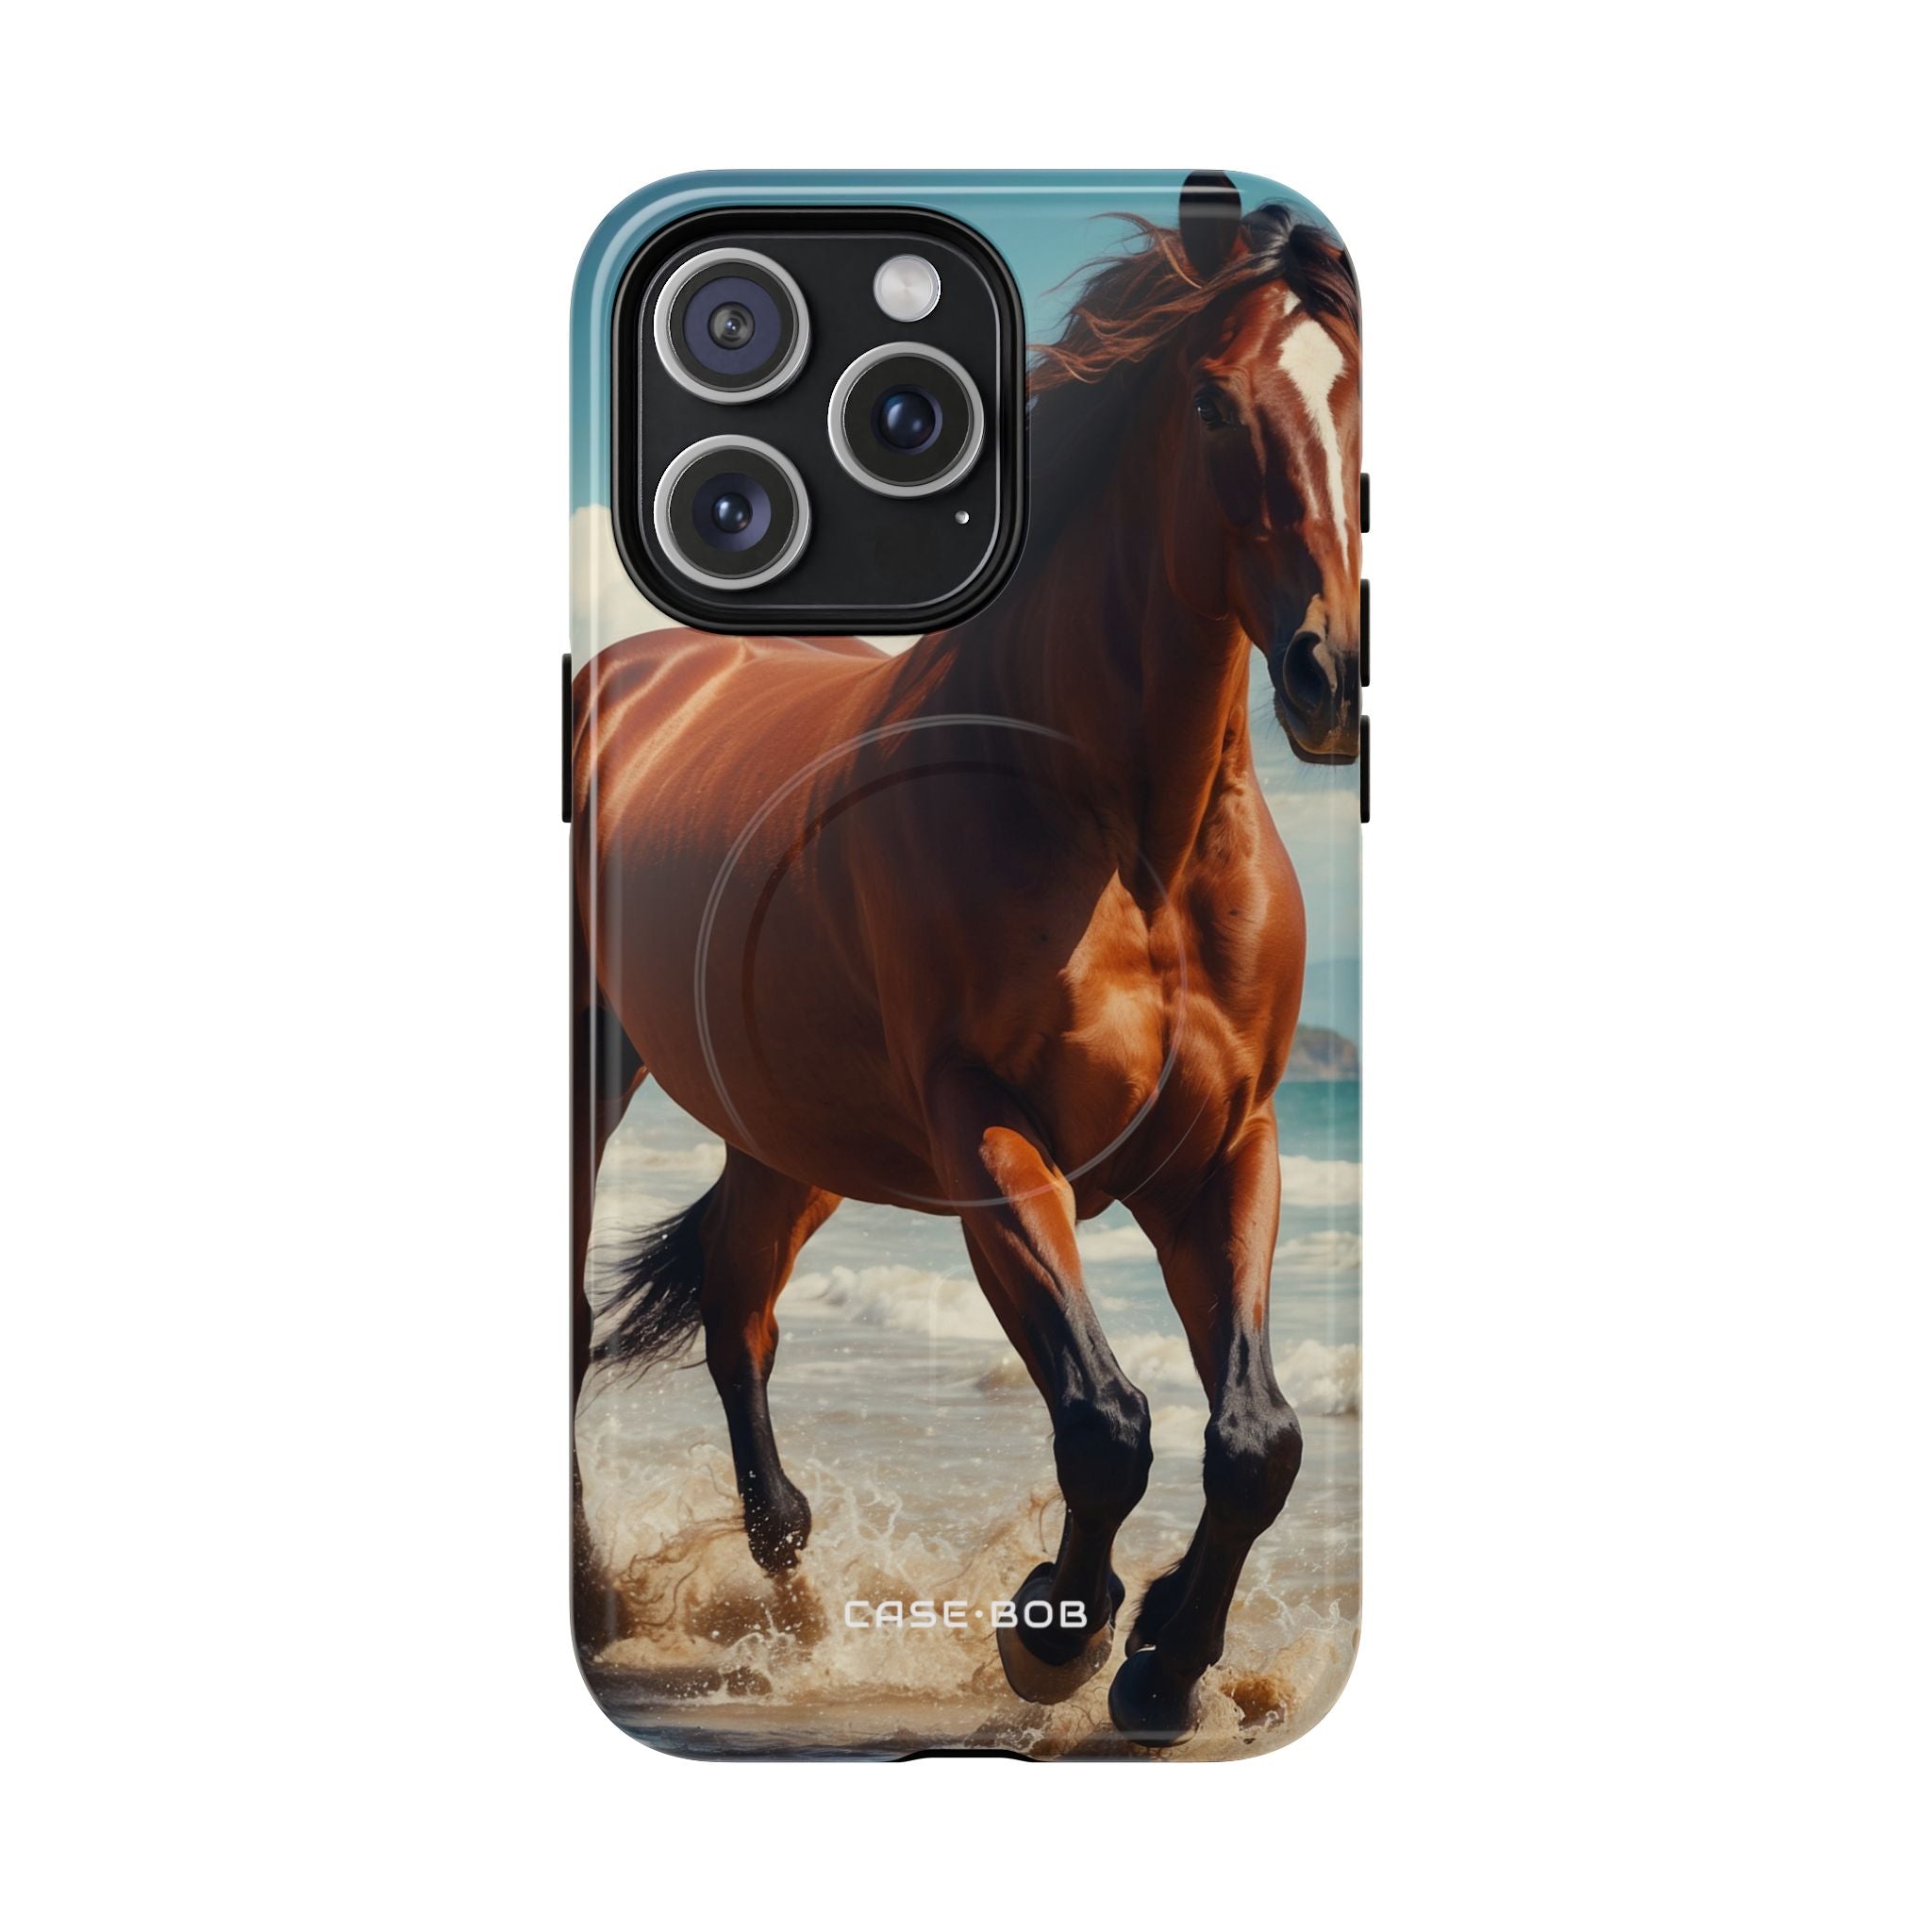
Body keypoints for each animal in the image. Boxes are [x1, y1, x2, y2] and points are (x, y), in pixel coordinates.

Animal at [570, 186, 1362, 1746]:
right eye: (1211, 402)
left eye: (1356, 392)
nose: (1329, 673)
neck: (1123, 833)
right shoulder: (989, 1134)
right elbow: (1107, 1423)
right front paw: (1059, 1632)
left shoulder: (1226, 1150)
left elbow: (1257, 1440)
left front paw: (1166, 1659)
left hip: (790, 1135)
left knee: (738, 1319)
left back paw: (795, 1605)